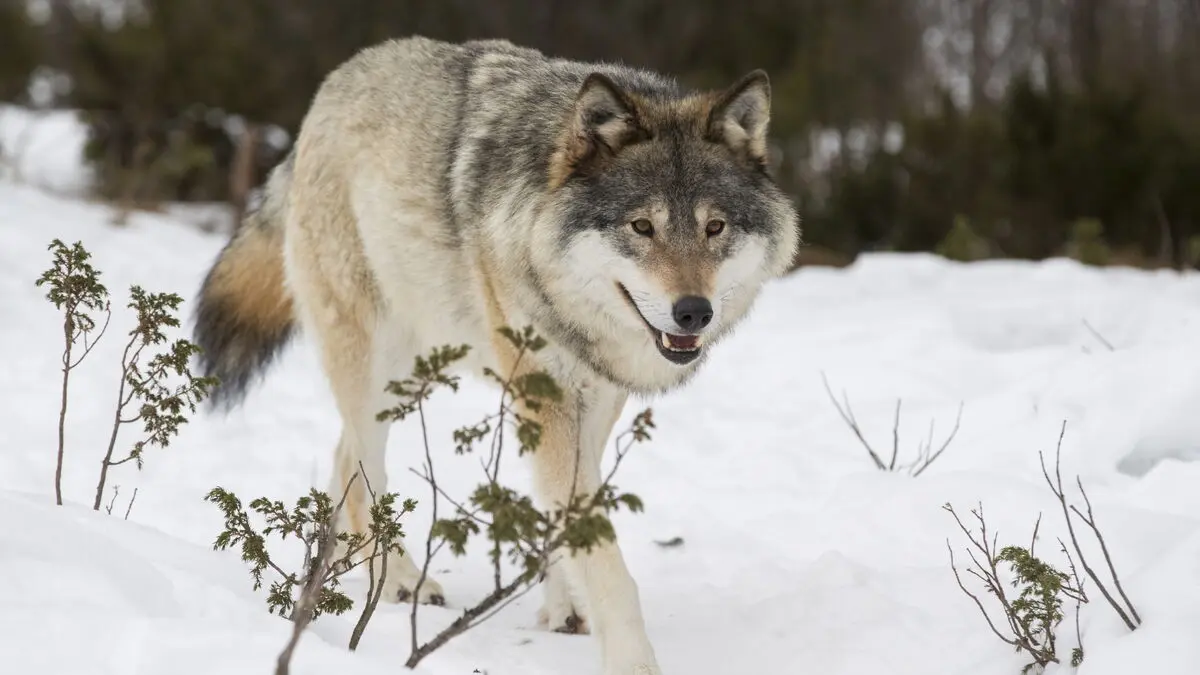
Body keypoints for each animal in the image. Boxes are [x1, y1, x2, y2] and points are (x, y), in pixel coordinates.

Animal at [193, 36, 799, 674]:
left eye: (715, 227)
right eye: (642, 227)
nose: (693, 312)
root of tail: (335, 83)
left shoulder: (594, 401)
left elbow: (566, 519)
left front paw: (563, 608)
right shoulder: (548, 398)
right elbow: (604, 559)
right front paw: (633, 662)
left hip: (411, 373)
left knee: (341, 459)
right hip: (377, 370)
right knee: (363, 468)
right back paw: (398, 580)